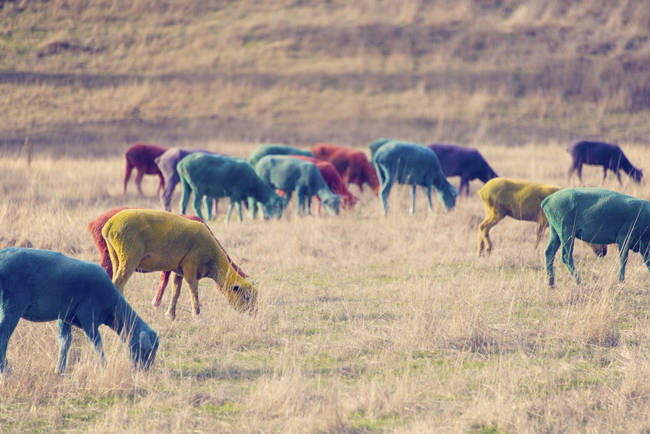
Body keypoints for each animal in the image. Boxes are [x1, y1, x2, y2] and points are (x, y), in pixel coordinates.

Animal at [0, 249, 158, 374]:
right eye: (147, 350)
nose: (144, 371)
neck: (113, 307)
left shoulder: (64, 317)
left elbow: (65, 341)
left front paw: (60, 370)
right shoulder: (89, 315)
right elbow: (97, 343)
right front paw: (104, 367)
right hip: (12, 305)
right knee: (4, 335)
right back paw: (6, 370)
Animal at [102, 210, 256, 318]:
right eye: (246, 297)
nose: (252, 314)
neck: (213, 261)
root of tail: (109, 225)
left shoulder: (179, 270)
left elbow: (176, 291)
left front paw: (170, 315)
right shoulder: (190, 267)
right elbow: (194, 290)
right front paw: (197, 314)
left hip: (116, 257)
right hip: (129, 257)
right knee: (118, 283)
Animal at [474, 177, 604, 256]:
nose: (603, 252)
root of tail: (482, 191)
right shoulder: (543, 220)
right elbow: (539, 237)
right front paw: (534, 252)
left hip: (490, 211)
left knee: (481, 227)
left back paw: (480, 252)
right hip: (497, 211)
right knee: (483, 227)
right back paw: (488, 249)